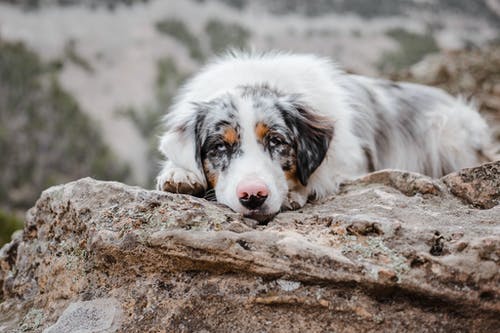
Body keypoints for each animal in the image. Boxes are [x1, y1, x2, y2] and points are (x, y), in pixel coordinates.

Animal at [156, 51, 492, 220]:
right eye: (219, 147)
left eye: (276, 141)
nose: (253, 196)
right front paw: (179, 174)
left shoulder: (352, 159)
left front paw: (293, 192)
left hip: (449, 131)